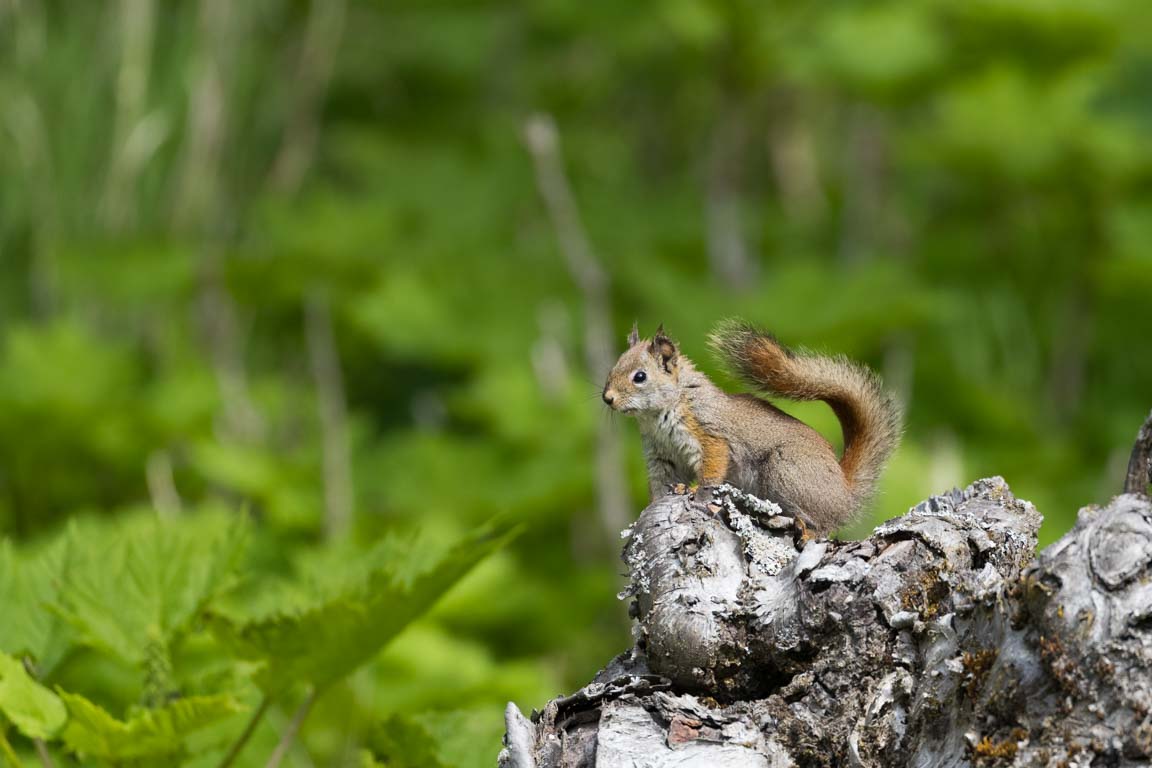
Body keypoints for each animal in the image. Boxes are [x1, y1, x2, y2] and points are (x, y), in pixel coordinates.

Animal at [603, 317, 898, 534]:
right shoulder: (660, 456)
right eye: (611, 370)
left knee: (824, 525)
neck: (659, 416)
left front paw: (697, 492)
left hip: (786, 470)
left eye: (640, 377)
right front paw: (650, 510)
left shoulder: (710, 433)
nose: (608, 398)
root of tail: (844, 493)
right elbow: (659, 486)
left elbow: (711, 468)